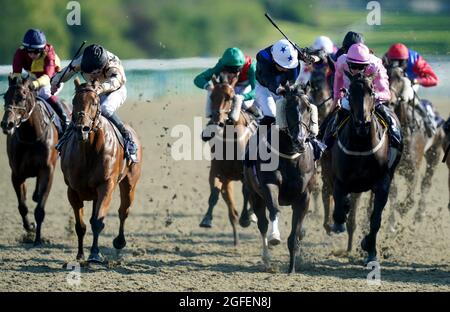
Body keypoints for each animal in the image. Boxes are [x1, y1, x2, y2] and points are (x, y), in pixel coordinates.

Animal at [0, 74, 59, 245]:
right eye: (5, 96)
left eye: (22, 97)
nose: (7, 124)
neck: (31, 136)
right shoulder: (16, 174)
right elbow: (22, 206)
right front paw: (30, 228)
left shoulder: (47, 171)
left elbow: (39, 210)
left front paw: (38, 239)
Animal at [59, 78, 141, 264]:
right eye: (74, 101)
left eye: (94, 102)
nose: (81, 128)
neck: (88, 152)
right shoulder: (72, 190)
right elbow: (81, 225)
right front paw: (80, 255)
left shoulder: (106, 185)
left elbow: (97, 221)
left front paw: (95, 254)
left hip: (130, 184)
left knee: (123, 211)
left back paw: (119, 242)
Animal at [200, 73, 258, 246]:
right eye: (212, 96)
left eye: (230, 97)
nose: (217, 121)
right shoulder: (218, 172)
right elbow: (214, 194)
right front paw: (207, 219)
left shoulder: (246, 174)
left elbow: (246, 192)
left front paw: (246, 218)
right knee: (231, 210)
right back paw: (236, 239)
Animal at [244, 81, 314, 272]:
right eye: (288, 108)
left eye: (308, 108)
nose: (299, 140)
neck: (289, 156)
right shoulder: (270, 185)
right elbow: (274, 210)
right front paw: (275, 236)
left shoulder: (304, 196)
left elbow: (295, 234)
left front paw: (292, 269)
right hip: (254, 194)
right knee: (262, 224)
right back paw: (266, 258)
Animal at [384, 66, 444, 227]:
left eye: (399, 78)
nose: (390, 101)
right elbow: (393, 193)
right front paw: (391, 223)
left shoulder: (413, 169)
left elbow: (410, 199)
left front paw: (402, 209)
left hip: (435, 154)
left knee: (426, 183)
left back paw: (419, 215)